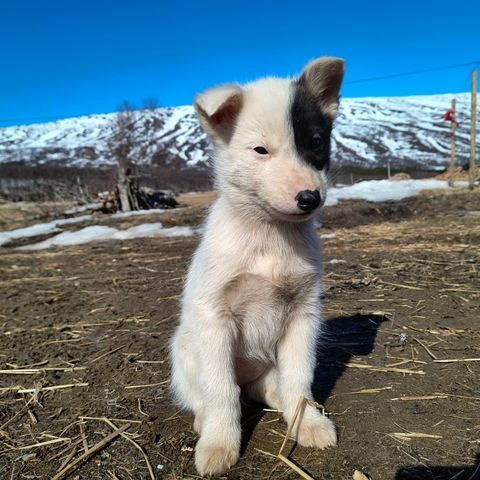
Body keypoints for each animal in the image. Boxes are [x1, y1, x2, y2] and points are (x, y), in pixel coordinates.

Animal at [171, 56, 344, 476]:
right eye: (261, 150)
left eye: (315, 142)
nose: (310, 197)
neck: (268, 235)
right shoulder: (215, 317)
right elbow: (221, 390)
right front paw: (219, 442)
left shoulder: (303, 315)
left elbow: (300, 379)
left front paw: (306, 421)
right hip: (184, 351)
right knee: (212, 393)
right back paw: (204, 420)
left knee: (266, 387)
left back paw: (280, 398)